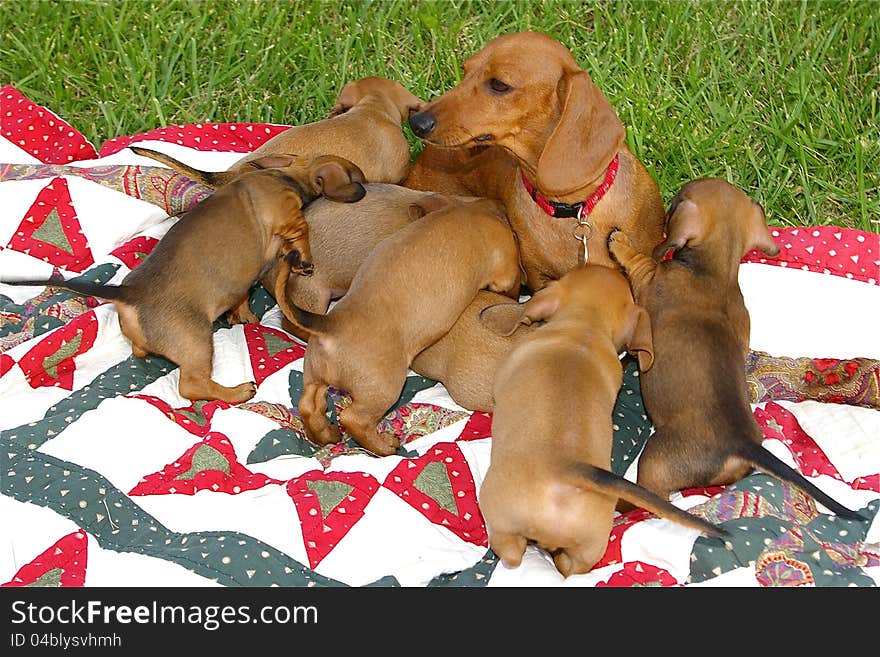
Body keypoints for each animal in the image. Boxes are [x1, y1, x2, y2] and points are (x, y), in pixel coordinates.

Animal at [1, 154, 366, 402]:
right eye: (357, 175)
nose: (367, 188)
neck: (283, 176)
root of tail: (131, 293)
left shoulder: (241, 281)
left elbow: (241, 299)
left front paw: (244, 316)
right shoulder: (289, 217)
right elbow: (301, 235)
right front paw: (304, 260)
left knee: (140, 352)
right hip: (197, 343)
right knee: (191, 385)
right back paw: (237, 392)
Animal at [288, 195, 524, 456]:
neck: (467, 210)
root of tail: (330, 325)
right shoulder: (505, 271)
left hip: (314, 375)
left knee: (309, 405)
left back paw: (325, 435)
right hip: (385, 388)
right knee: (354, 419)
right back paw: (385, 447)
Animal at [474, 264, 728, 576]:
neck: (584, 327)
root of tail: (568, 470)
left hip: (503, 525)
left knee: (513, 555)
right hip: (588, 547)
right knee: (571, 568)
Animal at [608, 177, 864, 520]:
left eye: (675, 203)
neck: (716, 273)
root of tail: (742, 443)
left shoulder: (649, 277)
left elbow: (638, 260)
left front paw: (619, 241)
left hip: (654, 460)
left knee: (648, 496)